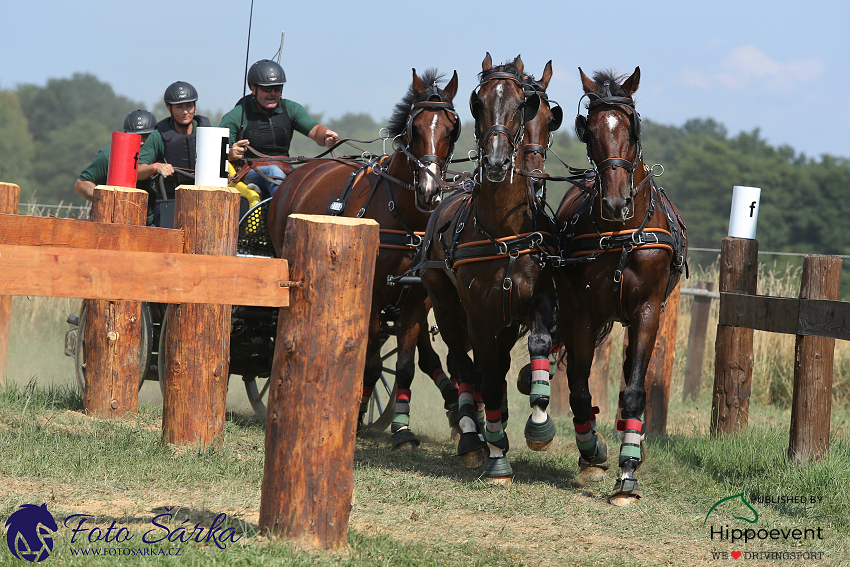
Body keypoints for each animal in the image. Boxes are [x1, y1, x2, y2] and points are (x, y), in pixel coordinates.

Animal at [266, 67, 460, 448]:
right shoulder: (372, 294)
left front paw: (402, 429)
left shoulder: (416, 297)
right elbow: (368, 361)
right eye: (415, 128)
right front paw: (355, 416)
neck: (403, 214)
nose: (429, 190)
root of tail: (297, 173)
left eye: (451, 128)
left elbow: (404, 365)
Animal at [420, 54, 560, 484]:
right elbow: (488, 376)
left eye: (525, 105)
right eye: (477, 103)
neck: (503, 232)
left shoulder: (534, 302)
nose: (498, 162)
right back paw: (472, 438)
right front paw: (496, 454)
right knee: (464, 366)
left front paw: (539, 423)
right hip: (445, 304)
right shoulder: (480, 315)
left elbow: (537, 345)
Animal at [552, 66, 684, 506]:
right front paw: (592, 453)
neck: (620, 234)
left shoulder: (647, 312)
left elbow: (634, 391)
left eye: (630, 126)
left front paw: (628, 473)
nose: (614, 202)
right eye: (590, 130)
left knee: (631, 378)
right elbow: (579, 389)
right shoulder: (580, 313)